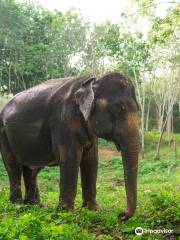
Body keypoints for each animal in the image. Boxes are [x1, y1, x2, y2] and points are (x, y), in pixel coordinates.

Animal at [0, 72, 139, 220]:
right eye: (117, 108)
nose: (121, 215)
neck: (92, 81)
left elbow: (91, 161)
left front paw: (93, 210)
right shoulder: (63, 119)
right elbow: (71, 159)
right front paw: (66, 214)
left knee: (31, 169)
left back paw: (34, 206)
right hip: (3, 134)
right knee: (12, 166)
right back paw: (17, 206)